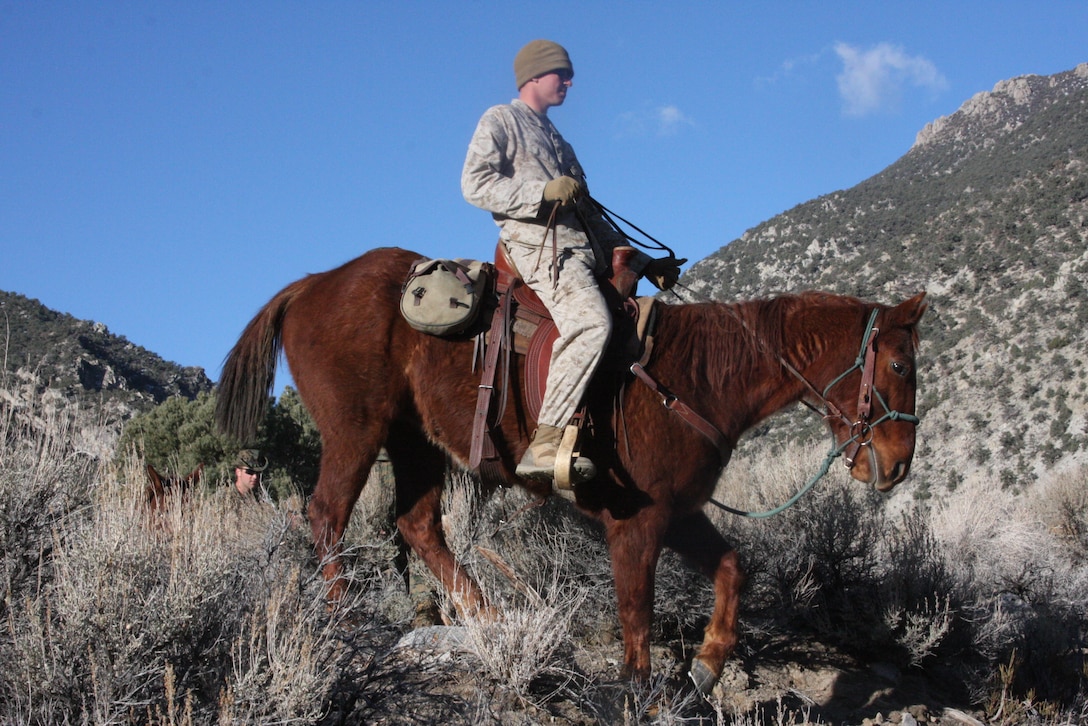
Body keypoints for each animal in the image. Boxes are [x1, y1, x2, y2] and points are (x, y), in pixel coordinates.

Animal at [214, 247, 926, 696]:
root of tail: (314, 282)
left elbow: (733, 570)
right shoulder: (637, 521)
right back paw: (345, 618)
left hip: (413, 441)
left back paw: (492, 620)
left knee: (417, 526)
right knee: (327, 513)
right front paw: (640, 693)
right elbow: (636, 616)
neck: (697, 375)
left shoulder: (678, 513)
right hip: (356, 430)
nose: (896, 466)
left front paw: (705, 666)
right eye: (899, 365)